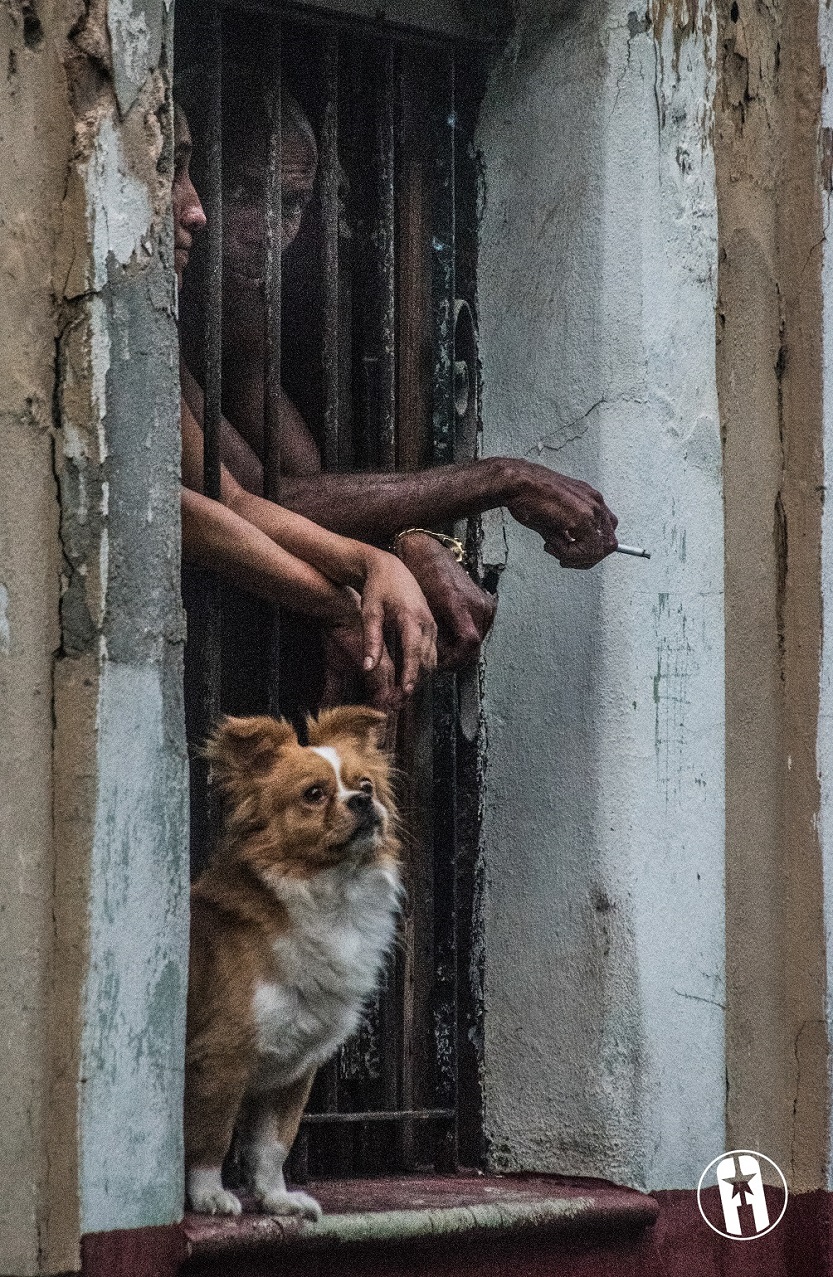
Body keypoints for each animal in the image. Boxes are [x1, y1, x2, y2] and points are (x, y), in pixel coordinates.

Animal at [185, 710, 401, 1215]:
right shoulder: (221, 1058)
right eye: (314, 794)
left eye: (366, 784)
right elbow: (212, 1136)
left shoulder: (292, 1069)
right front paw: (209, 1196)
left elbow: (272, 1145)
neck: (332, 895)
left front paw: (277, 1199)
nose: (363, 800)